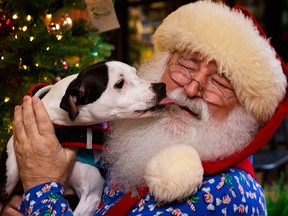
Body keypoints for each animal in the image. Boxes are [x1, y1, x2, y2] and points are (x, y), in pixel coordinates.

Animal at [0, 60, 169, 216]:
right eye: (120, 84)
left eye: (136, 74)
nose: (161, 86)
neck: (65, 132)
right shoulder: (4, 188)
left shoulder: (91, 195)